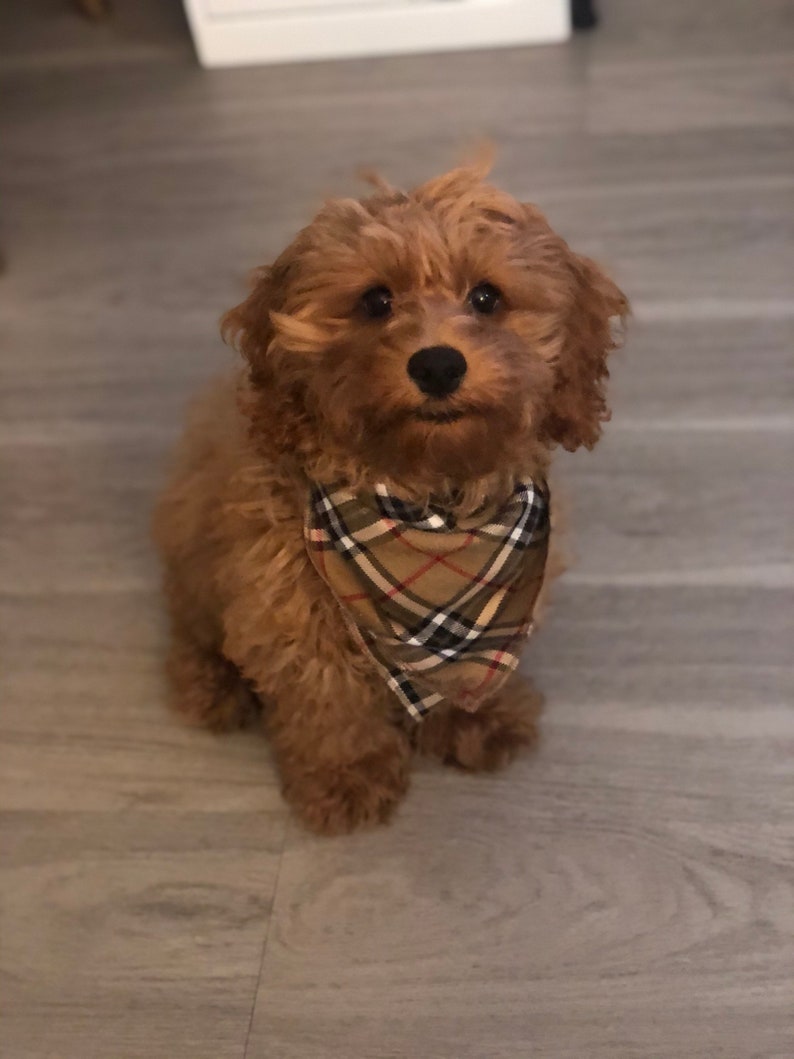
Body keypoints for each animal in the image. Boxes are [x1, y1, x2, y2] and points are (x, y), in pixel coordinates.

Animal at [153, 158, 626, 834]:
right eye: (376, 302)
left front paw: (479, 719)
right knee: (192, 631)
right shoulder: (289, 611)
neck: (429, 508)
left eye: (487, 297)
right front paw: (346, 777)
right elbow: (330, 703)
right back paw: (211, 685)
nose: (437, 365)